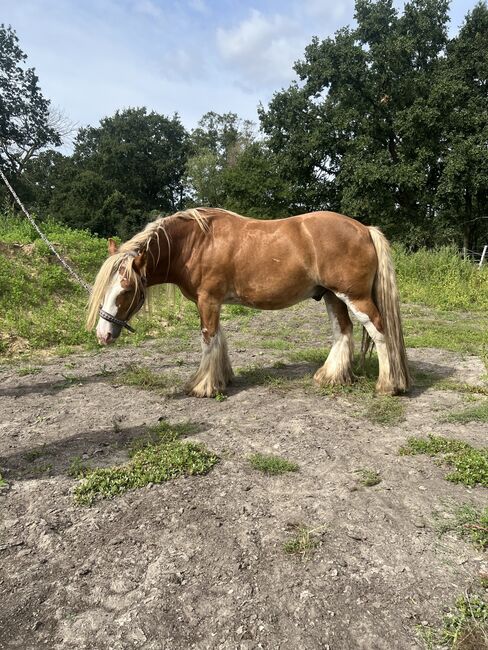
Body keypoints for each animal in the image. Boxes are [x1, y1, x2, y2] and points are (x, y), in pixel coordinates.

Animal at [86, 210, 408, 398]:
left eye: (126, 289)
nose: (103, 335)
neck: (194, 243)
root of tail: (364, 228)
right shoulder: (212, 302)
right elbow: (218, 339)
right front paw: (222, 378)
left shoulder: (208, 301)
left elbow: (208, 340)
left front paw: (203, 386)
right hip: (332, 295)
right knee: (343, 331)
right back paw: (331, 377)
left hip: (356, 297)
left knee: (380, 331)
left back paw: (388, 385)